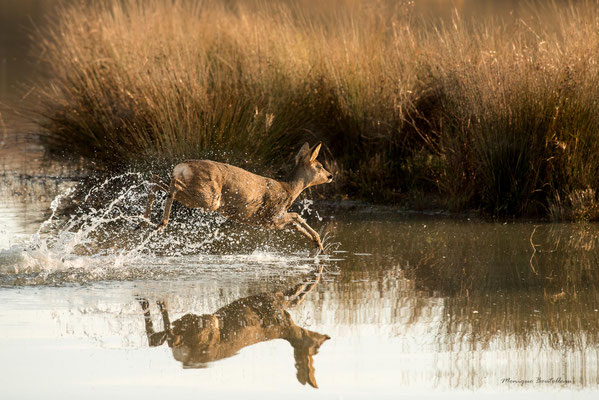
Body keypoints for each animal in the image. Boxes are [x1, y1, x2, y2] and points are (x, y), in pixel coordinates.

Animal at [138, 266, 330, 388]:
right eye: (316, 347)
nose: (327, 337)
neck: (286, 328)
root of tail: (185, 359)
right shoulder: (271, 300)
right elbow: (296, 292)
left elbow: (295, 294)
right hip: (206, 324)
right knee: (170, 336)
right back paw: (158, 302)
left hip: (194, 326)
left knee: (160, 339)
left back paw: (147, 301)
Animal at [144, 142, 336, 252]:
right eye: (319, 165)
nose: (330, 175)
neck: (288, 190)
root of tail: (182, 166)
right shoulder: (271, 216)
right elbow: (297, 216)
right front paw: (319, 242)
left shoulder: (271, 221)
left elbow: (296, 222)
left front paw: (318, 244)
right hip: (210, 198)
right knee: (173, 185)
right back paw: (160, 223)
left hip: (197, 196)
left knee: (156, 179)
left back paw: (143, 221)